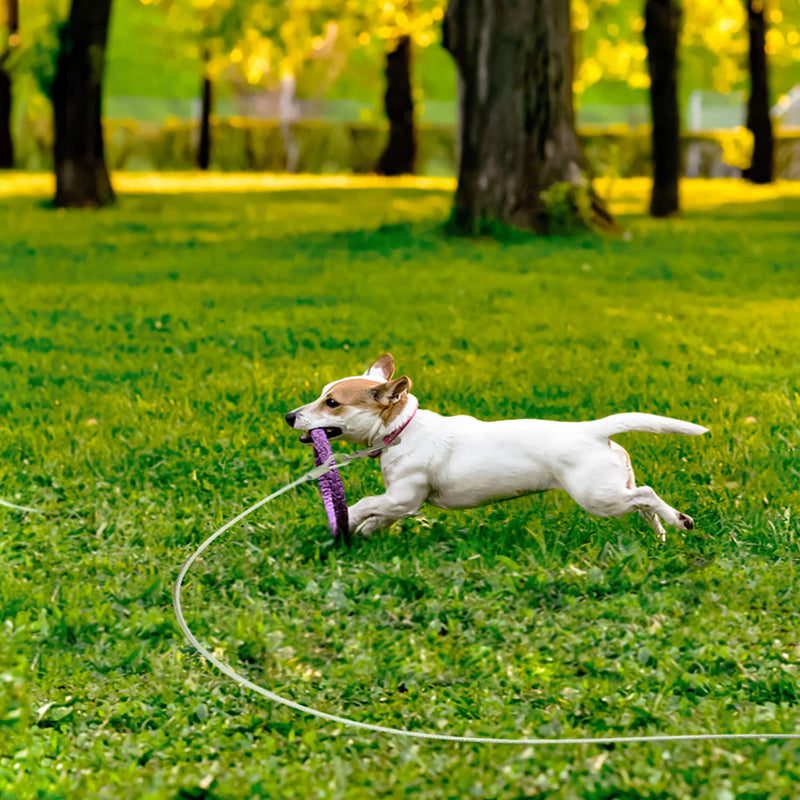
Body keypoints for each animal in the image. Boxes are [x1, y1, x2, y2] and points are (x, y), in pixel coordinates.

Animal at [284, 354, 708, 536]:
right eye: (322, 395)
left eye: (332, 403)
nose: (289, 416)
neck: (403, 428)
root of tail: (593, 430)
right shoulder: (400, 502)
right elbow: (380, 515)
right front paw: (364, 532)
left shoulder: (404, 495)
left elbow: (367, 504)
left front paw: (348, 520)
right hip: (614, 487)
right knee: (642, 500)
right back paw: (661, 534)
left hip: (598, 497)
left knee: (647, 495)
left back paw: (679, 521)